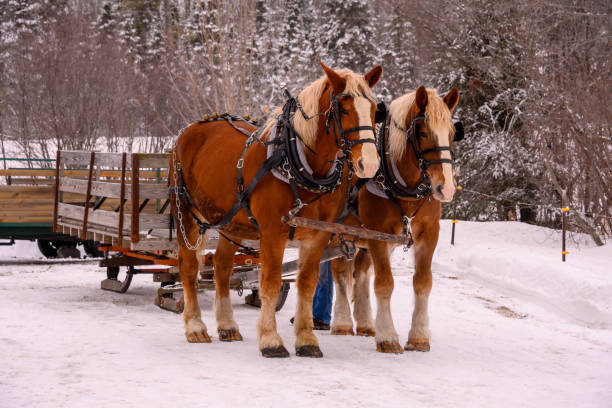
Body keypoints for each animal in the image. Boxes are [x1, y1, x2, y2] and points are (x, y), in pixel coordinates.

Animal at [172, 63, 380, 356]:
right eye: (344, 109)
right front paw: (270, 339)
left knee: (222, 267)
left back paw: (227, 325)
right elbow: (270, 281)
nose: (369, 164)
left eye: (374, 109)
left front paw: (306, 340)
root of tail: (191, 129)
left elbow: (307, 284)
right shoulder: (273, 231)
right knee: (189, 267)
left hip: (230, 221)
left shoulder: (318, 236)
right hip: (186, 211)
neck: (301, 166)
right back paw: (195, 327)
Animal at [330, 87, 460, 354]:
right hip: (338, 232)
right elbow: (384, 283)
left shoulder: (429, 234)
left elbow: (422, 282)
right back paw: (342, 322)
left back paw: (366, 322)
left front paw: (419, 336)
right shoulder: (378, 234)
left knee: (360, 273)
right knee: (340, 273)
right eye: (423, 133)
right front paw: (388, 337)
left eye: (452, 134)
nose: (446, 188)